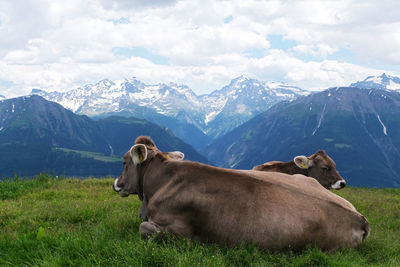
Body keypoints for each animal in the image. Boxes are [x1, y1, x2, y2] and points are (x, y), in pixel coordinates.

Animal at [112, 137, 368, 252]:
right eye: (326, 167)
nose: (117, 184)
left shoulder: (174, 227)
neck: (161, 182)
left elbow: (144, 228)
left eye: (124, 162)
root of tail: (361, 219)